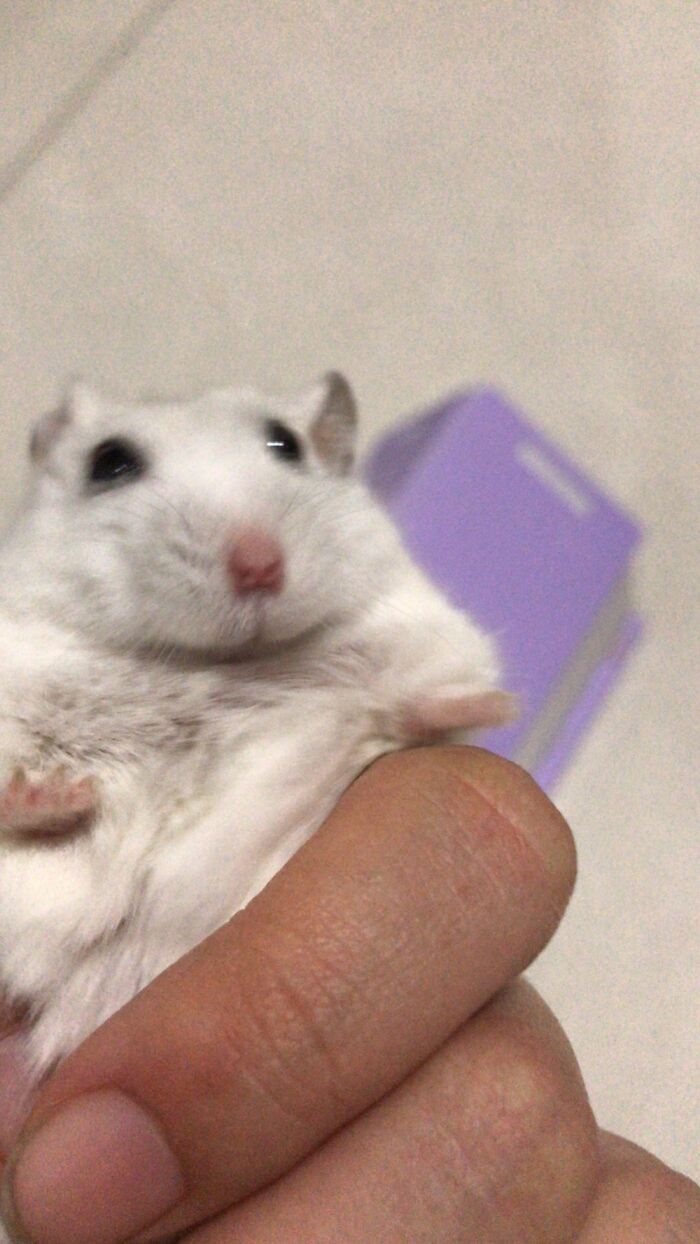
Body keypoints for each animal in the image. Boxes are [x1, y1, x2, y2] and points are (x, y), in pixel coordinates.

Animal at [0, 372, 514, 1099]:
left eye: (286, 444)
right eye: (109, 463)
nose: (260, 565)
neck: (209, 663)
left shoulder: (430, 641)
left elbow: (411, 702)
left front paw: (489, 703)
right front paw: (63, 794)